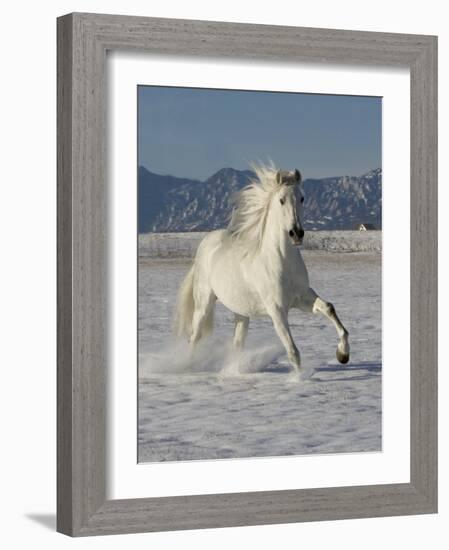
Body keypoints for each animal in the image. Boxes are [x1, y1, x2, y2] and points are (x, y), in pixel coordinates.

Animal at [173, 164, 348, 380]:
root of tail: (206, 243)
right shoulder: (277, 310)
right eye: (281, 200)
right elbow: (293, 351)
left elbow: (329, 308)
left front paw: (343, 355)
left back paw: (234, 371)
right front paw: (300, 379)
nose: (296, 234)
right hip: (204, 302)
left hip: (241, 311)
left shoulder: (302, 298)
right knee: (195, 336)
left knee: (237, 343)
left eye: (302, 198)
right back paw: (189, 367)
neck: (282, 261)